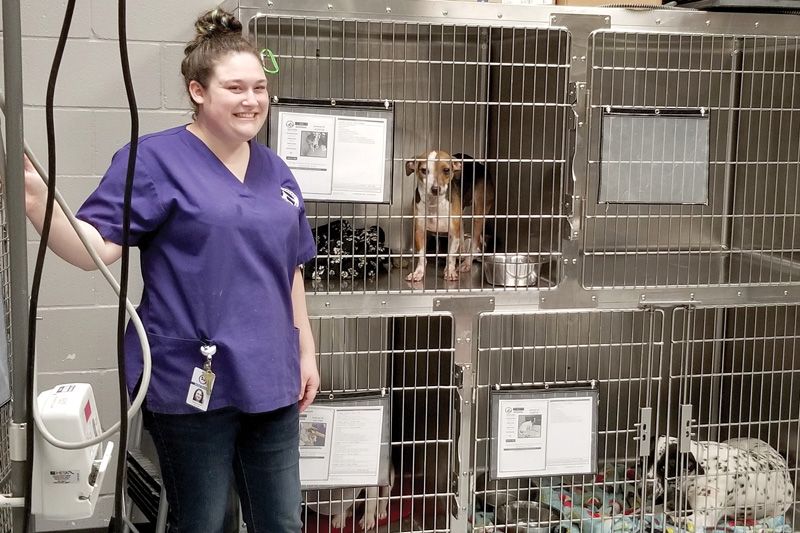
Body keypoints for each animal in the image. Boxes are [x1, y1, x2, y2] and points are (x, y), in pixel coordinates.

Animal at [406, 150, 494, 280]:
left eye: (446, 170)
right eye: (424, 170)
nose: (435, 189)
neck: (435, 203)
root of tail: (479, 165)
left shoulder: (453, 234)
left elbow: (451, 255)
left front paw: (450, 271)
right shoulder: (419, 231)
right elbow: (421, 255)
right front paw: (418, 272)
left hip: (479, 214)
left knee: (475, 242)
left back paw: (466, 263)